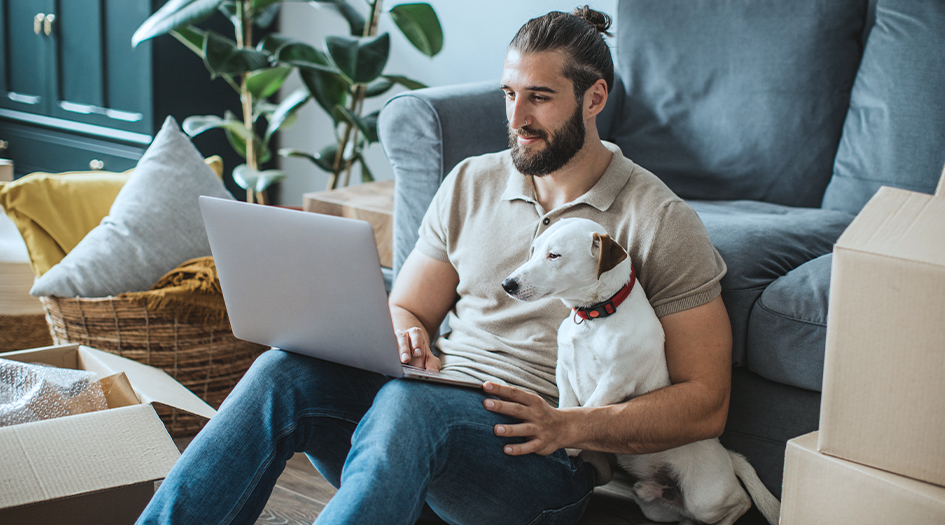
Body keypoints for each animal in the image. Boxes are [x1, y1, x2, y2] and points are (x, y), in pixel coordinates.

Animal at [506, 217, 780, 524]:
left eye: (554, 255)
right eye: (533, 250)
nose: (507, 284)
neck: (596, 316)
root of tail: (728, 456)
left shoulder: (615, 381)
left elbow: (586, 408)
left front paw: (567, 441)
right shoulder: (563, 369)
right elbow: (568, 405)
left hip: (705, 499)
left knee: (740, 503)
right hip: (654, 506)